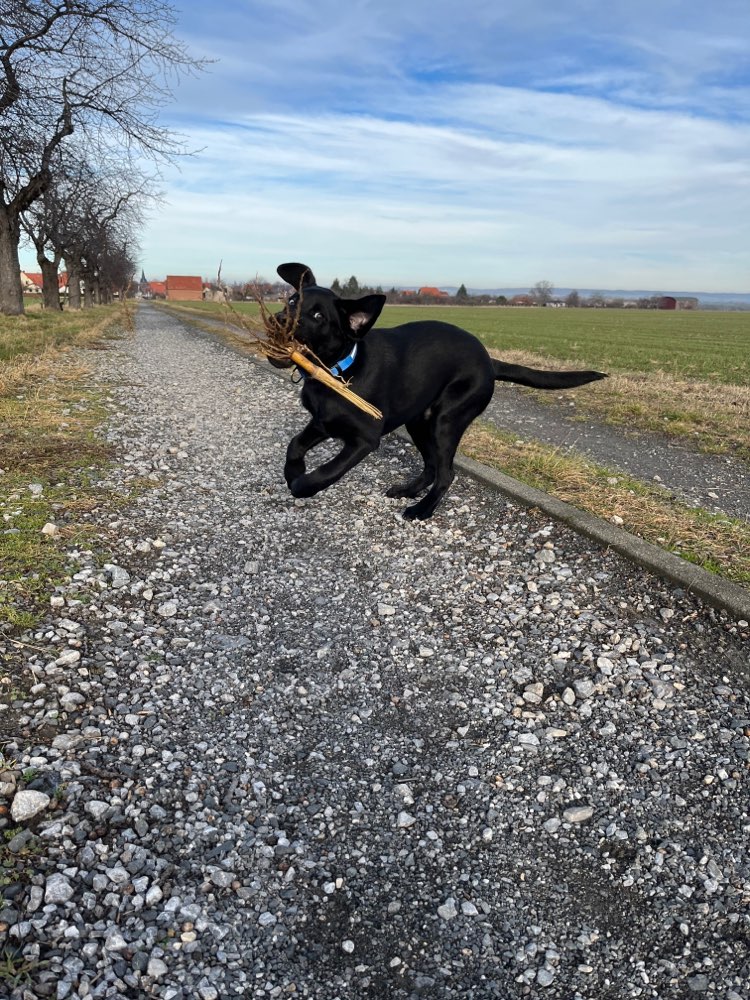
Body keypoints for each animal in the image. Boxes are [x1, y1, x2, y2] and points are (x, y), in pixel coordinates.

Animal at [268, 262, 608, 520]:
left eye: (318, 316)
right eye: (292, 301)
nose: (277, 321)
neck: (337, 370)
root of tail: (488, 360)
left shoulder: (364, 439)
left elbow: (329, 470)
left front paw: (302, 485)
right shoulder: (322, 422)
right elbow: (294, 444)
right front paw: (293, 470)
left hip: (446, 421)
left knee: (446, 473)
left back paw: (422, 509)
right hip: (420, 421)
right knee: (432, 467)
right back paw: (408, 491)